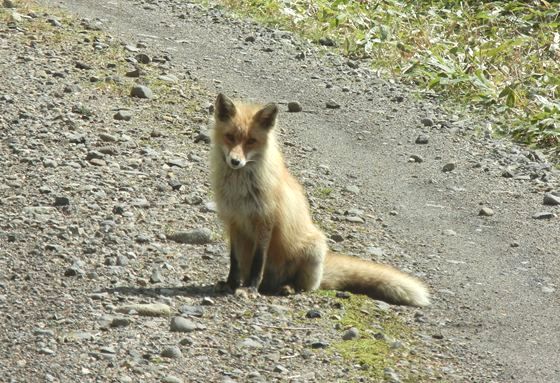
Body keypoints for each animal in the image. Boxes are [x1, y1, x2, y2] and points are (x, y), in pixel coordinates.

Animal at [210, 94, 428, 308]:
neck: (239, 191)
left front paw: (250, 289)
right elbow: (234, 261)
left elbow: (258, 262)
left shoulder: (265, 222)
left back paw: (286, 287)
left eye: (251, 141)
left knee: (304, 287)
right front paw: (231, 284)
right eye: (230, 137)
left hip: (313, 250)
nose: (235, 161)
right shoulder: (234, 221)